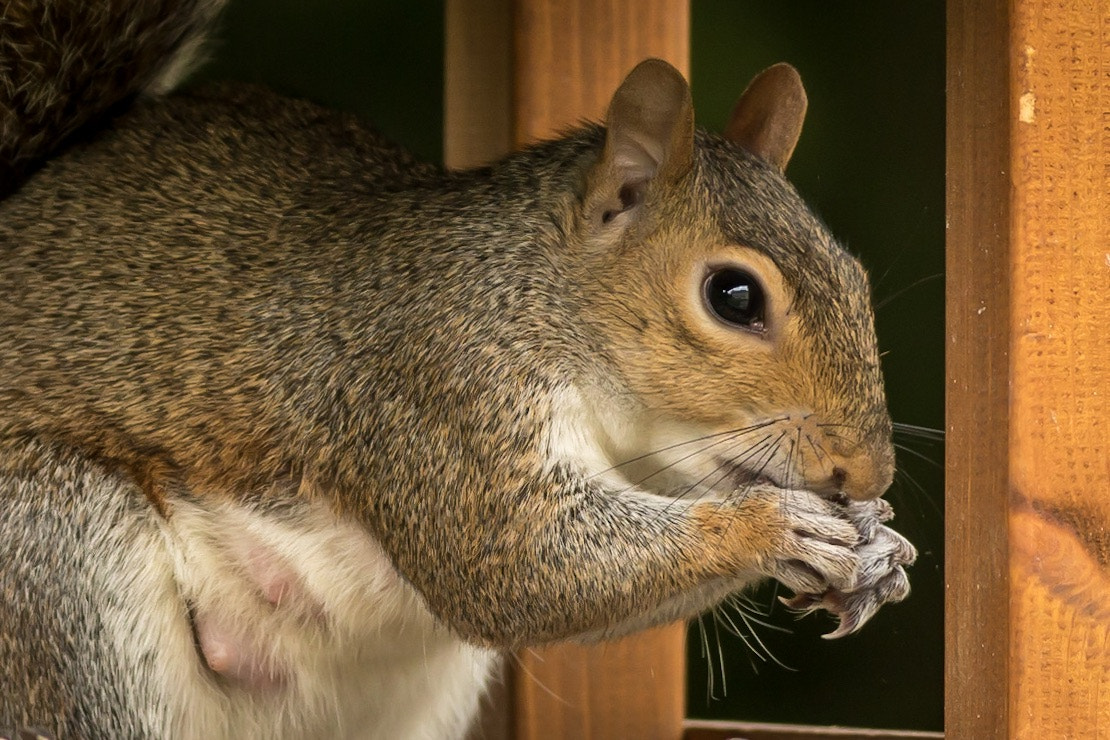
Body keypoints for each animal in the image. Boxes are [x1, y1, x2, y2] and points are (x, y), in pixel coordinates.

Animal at [2, 1, 919, 740]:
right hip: (56, 564)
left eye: (854, 276)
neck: (537, 296)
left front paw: (882, 551)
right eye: (733, 296)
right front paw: (777, 528)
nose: (867, 471)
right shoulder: (436, 386)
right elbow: (513, 564)